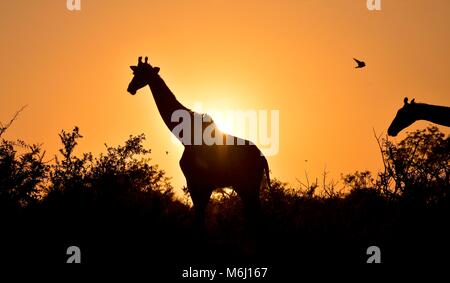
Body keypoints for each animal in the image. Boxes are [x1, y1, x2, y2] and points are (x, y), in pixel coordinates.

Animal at [125, 56, 270, 230]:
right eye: (134, 72)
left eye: (143, 73)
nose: (130, 88)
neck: (184, 136)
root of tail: (263, 158)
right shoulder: (203, 184)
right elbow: (200, 216)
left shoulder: (196, 181)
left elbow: (198, 218)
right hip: (245, 185)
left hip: (247, 184)